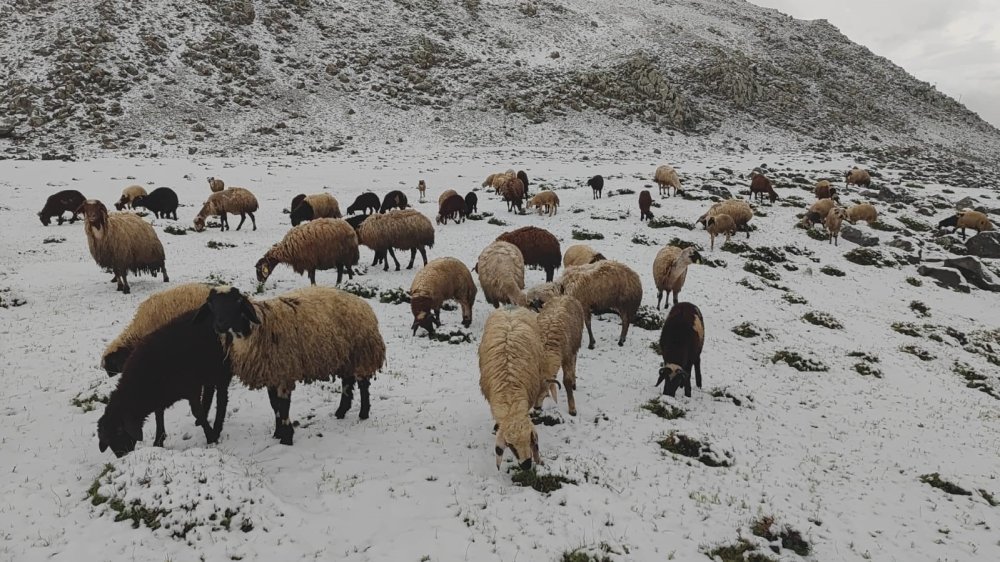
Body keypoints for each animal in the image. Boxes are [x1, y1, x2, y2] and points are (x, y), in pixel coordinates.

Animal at [98, 306, 234, 456]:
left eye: (119, 431)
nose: (121, 455)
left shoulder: (191, 388)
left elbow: (196, 411)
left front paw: (211, 438)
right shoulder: (160, 394)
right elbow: (159, 416)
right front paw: (158, 441)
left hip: (221, 369)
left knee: (222, 398)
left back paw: (217, 427)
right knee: (210, 391)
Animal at [194, 284, 386, 442]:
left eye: (237, 301)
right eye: (210, 303)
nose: (219, 325)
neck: (258, 328)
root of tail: (362, 303)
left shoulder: (284, 371)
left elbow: (283, 405)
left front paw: (286, 437)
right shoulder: (271, 372)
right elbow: (275, 405)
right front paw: (277, 433)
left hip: (362, 353)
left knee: (363, 384)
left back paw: (363, 413)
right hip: (346, 356)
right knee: (347, 381)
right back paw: (341, 412)